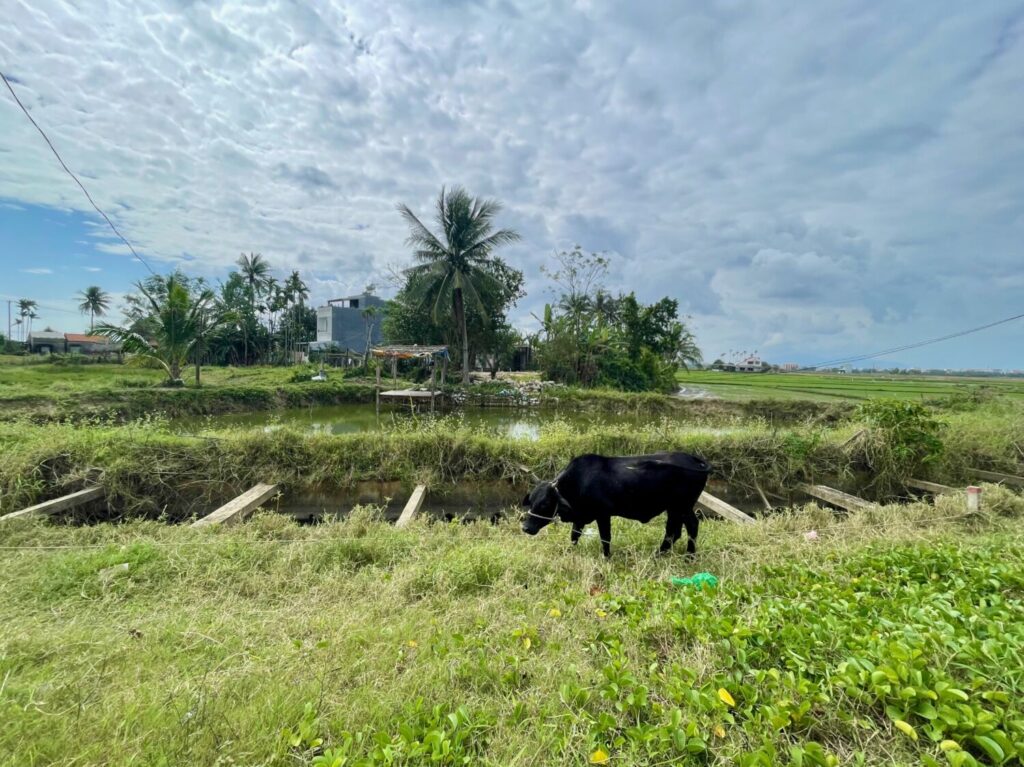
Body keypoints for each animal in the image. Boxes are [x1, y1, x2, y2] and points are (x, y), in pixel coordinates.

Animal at [521, 452, 711, 557]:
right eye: (531, 501)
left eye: (545, 503)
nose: (525, 528)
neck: (578, 481)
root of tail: (694, 460)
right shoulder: (581, 517)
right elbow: (574, 535)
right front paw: (569, 551)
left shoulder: (603, 515)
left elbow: (605, 538)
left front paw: (606, 557)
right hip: (675, 509)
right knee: (676, 531)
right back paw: (663, 554)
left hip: (682, 507)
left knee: (688, 527)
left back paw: (688, 556)